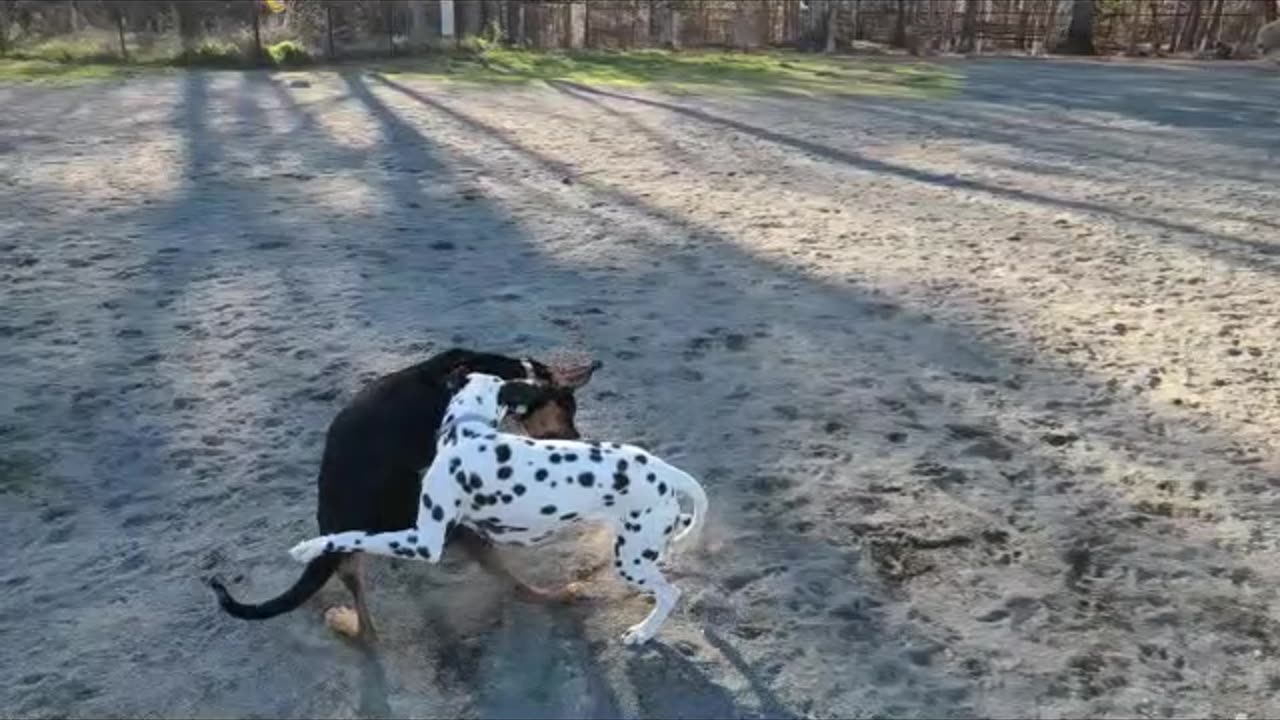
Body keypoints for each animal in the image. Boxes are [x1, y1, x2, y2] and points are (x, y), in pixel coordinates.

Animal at [290, 371, 711, 640]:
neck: (468, 431)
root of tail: (667, 471)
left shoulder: (424, 542)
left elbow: (355, 535)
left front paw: (310, 547)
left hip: (631, 560)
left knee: (671, 594)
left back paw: (642, 633)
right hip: (642, 544)